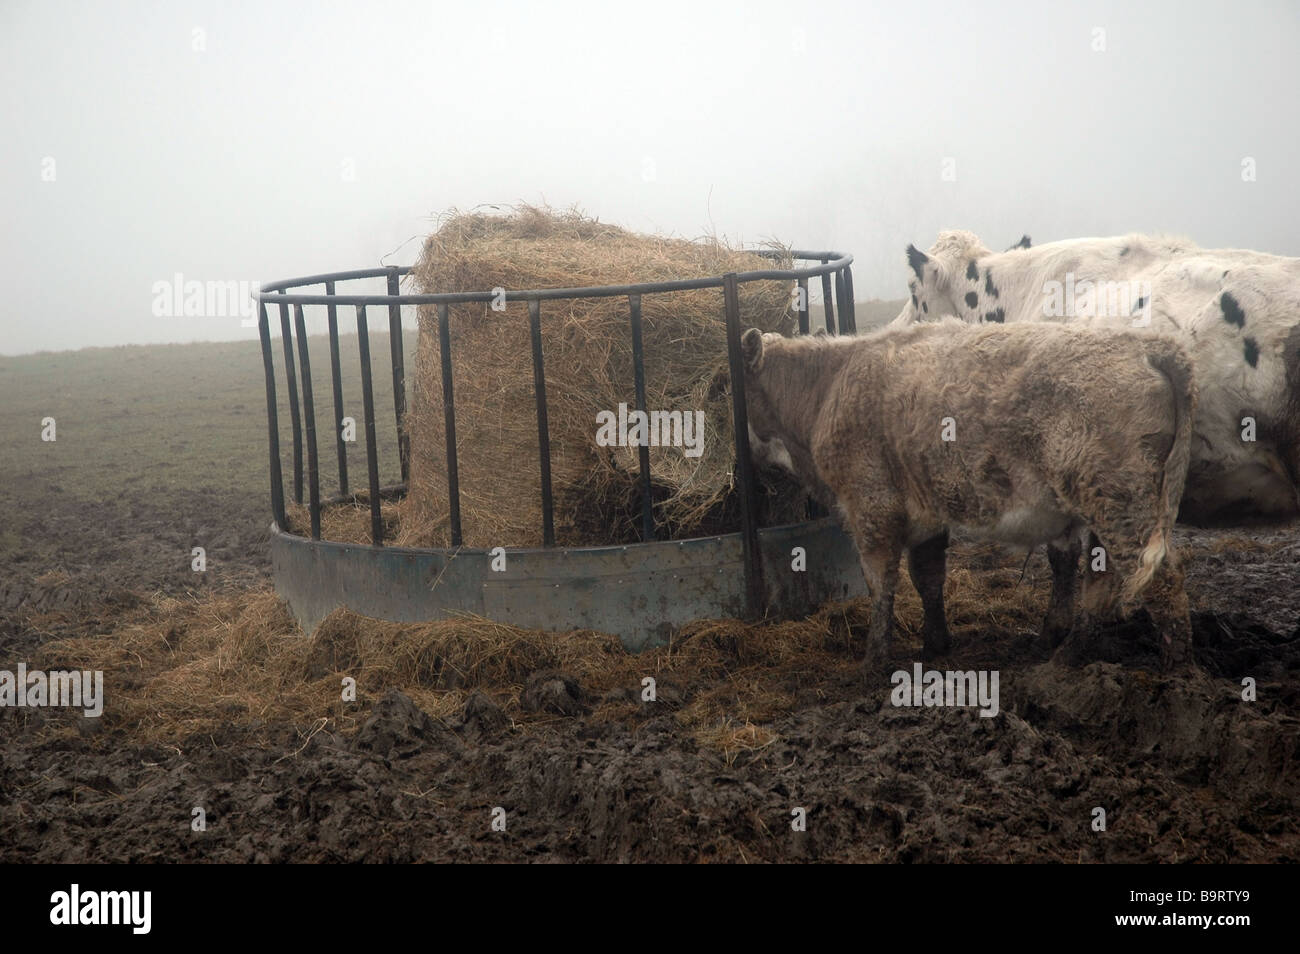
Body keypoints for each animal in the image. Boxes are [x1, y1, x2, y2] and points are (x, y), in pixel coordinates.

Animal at [743, 321, 1196, 670]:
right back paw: (1065, 655)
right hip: (1107, 505)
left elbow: (880, 583)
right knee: (1102, 585)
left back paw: (1179, 671)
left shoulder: (871, 507)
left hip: (1123, 505)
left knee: (1163, 576)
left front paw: (874, 661)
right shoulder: (925, 512)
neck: (828, 386)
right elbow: (927, 577)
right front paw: (936, 643)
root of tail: (1148, 345)